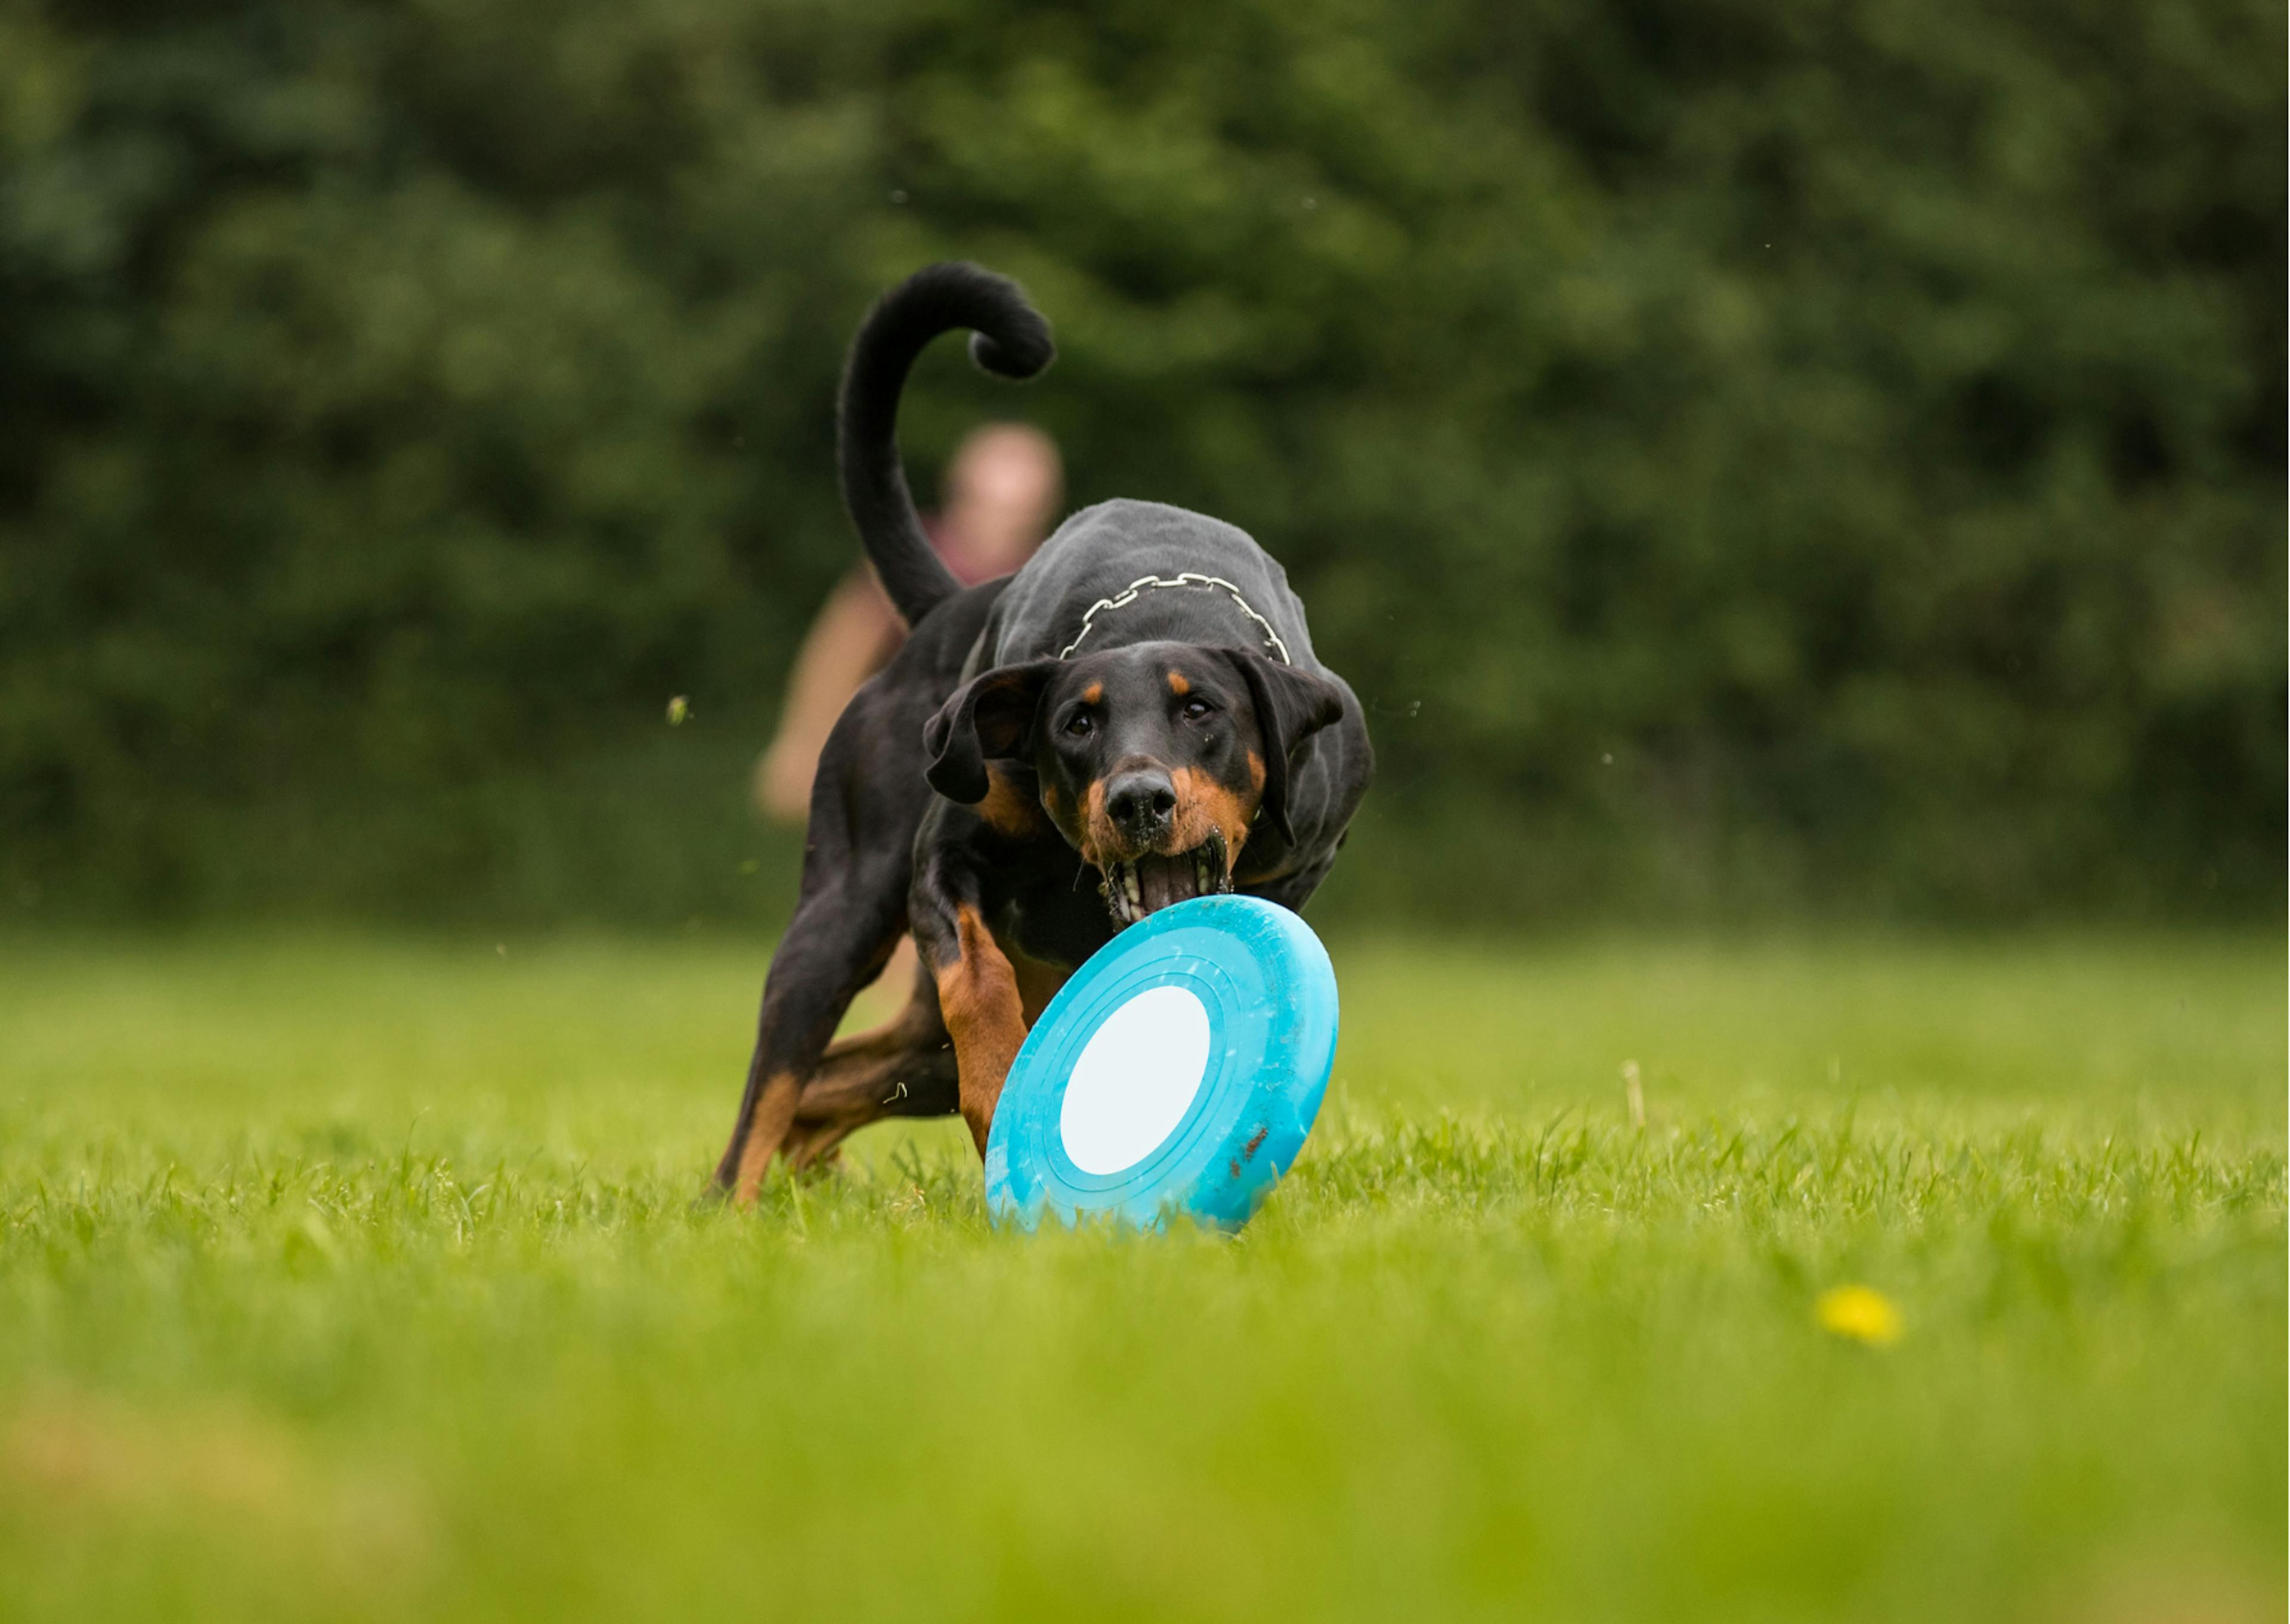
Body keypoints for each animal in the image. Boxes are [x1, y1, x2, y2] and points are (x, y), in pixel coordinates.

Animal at [714, 263, 1364, 1200]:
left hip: (912, 1034)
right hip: (838, 917)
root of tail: (951, 603)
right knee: (774, 1092)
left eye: (1201, 709)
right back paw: (735, 1201)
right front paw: (1000, 1090)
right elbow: (978, 979)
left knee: (840, 1080)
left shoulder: (1304, 849)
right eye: (1076, 723)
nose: (1139, 801)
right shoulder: (947, 860)